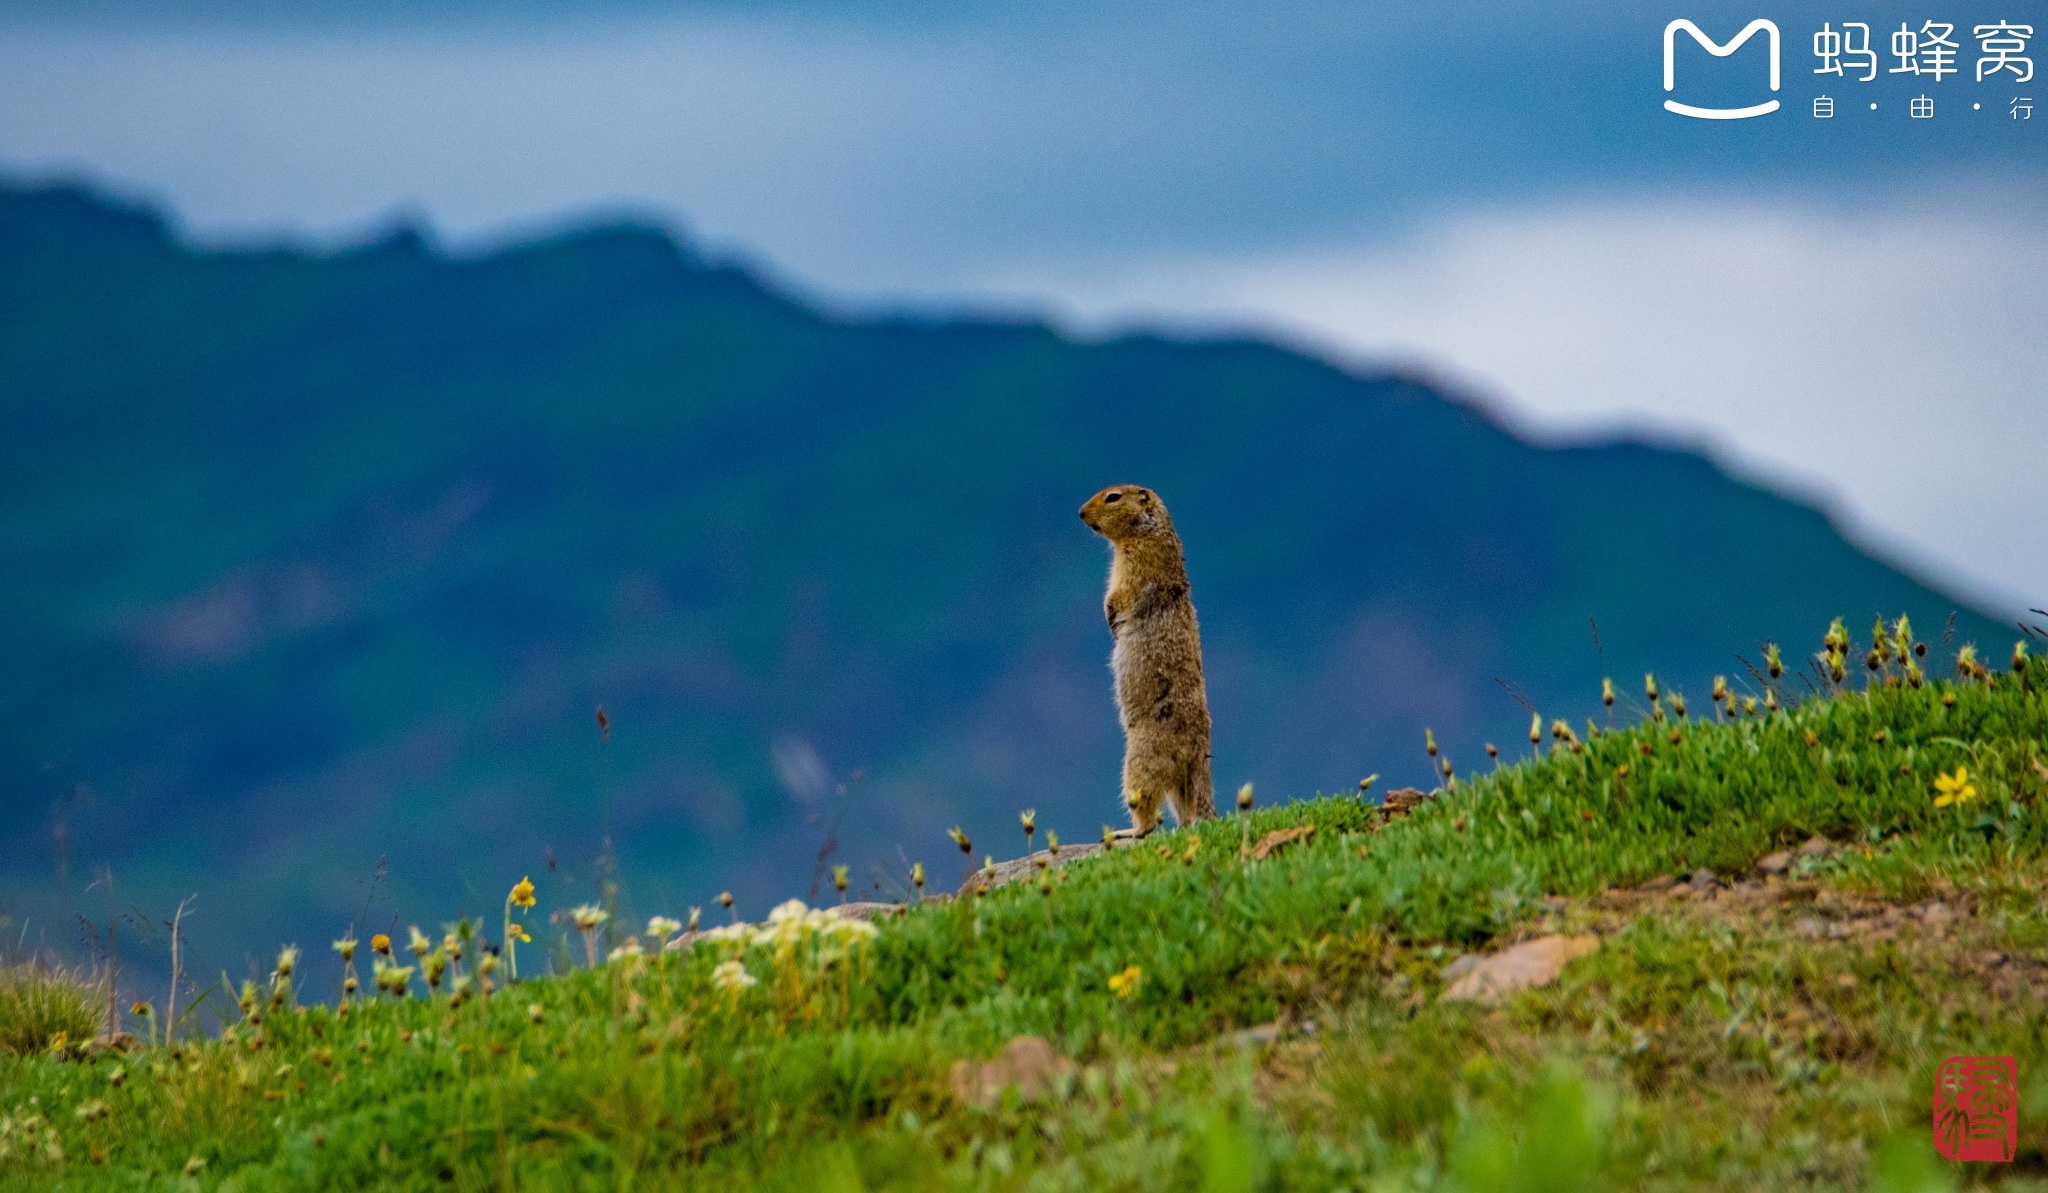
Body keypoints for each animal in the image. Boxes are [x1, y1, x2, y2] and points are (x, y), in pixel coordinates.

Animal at [1073, 480, 1212, 834]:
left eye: (1113, 497)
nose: (1080, 512)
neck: (1147, 531)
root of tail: (1199, 752)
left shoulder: (1135, 564)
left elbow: (1120, 594)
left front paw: (1110, 615)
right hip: (1181, 785)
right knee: (1186, 815)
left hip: (1141, 762)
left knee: (1148, 815)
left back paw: (1128, 831)